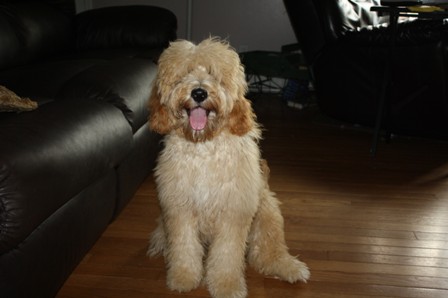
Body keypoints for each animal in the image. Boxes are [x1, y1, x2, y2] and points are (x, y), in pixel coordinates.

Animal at [147, 37, 308, 298]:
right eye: (185, 73)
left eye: (213, 74)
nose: (199, 92)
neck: (204, 147)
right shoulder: (179, 208)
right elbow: (184, 246)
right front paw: (183, 277)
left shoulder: (234, 211)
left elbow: (227, 255)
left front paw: (227, 285)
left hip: (267, 210)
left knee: (267, 251)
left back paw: (288, 267)